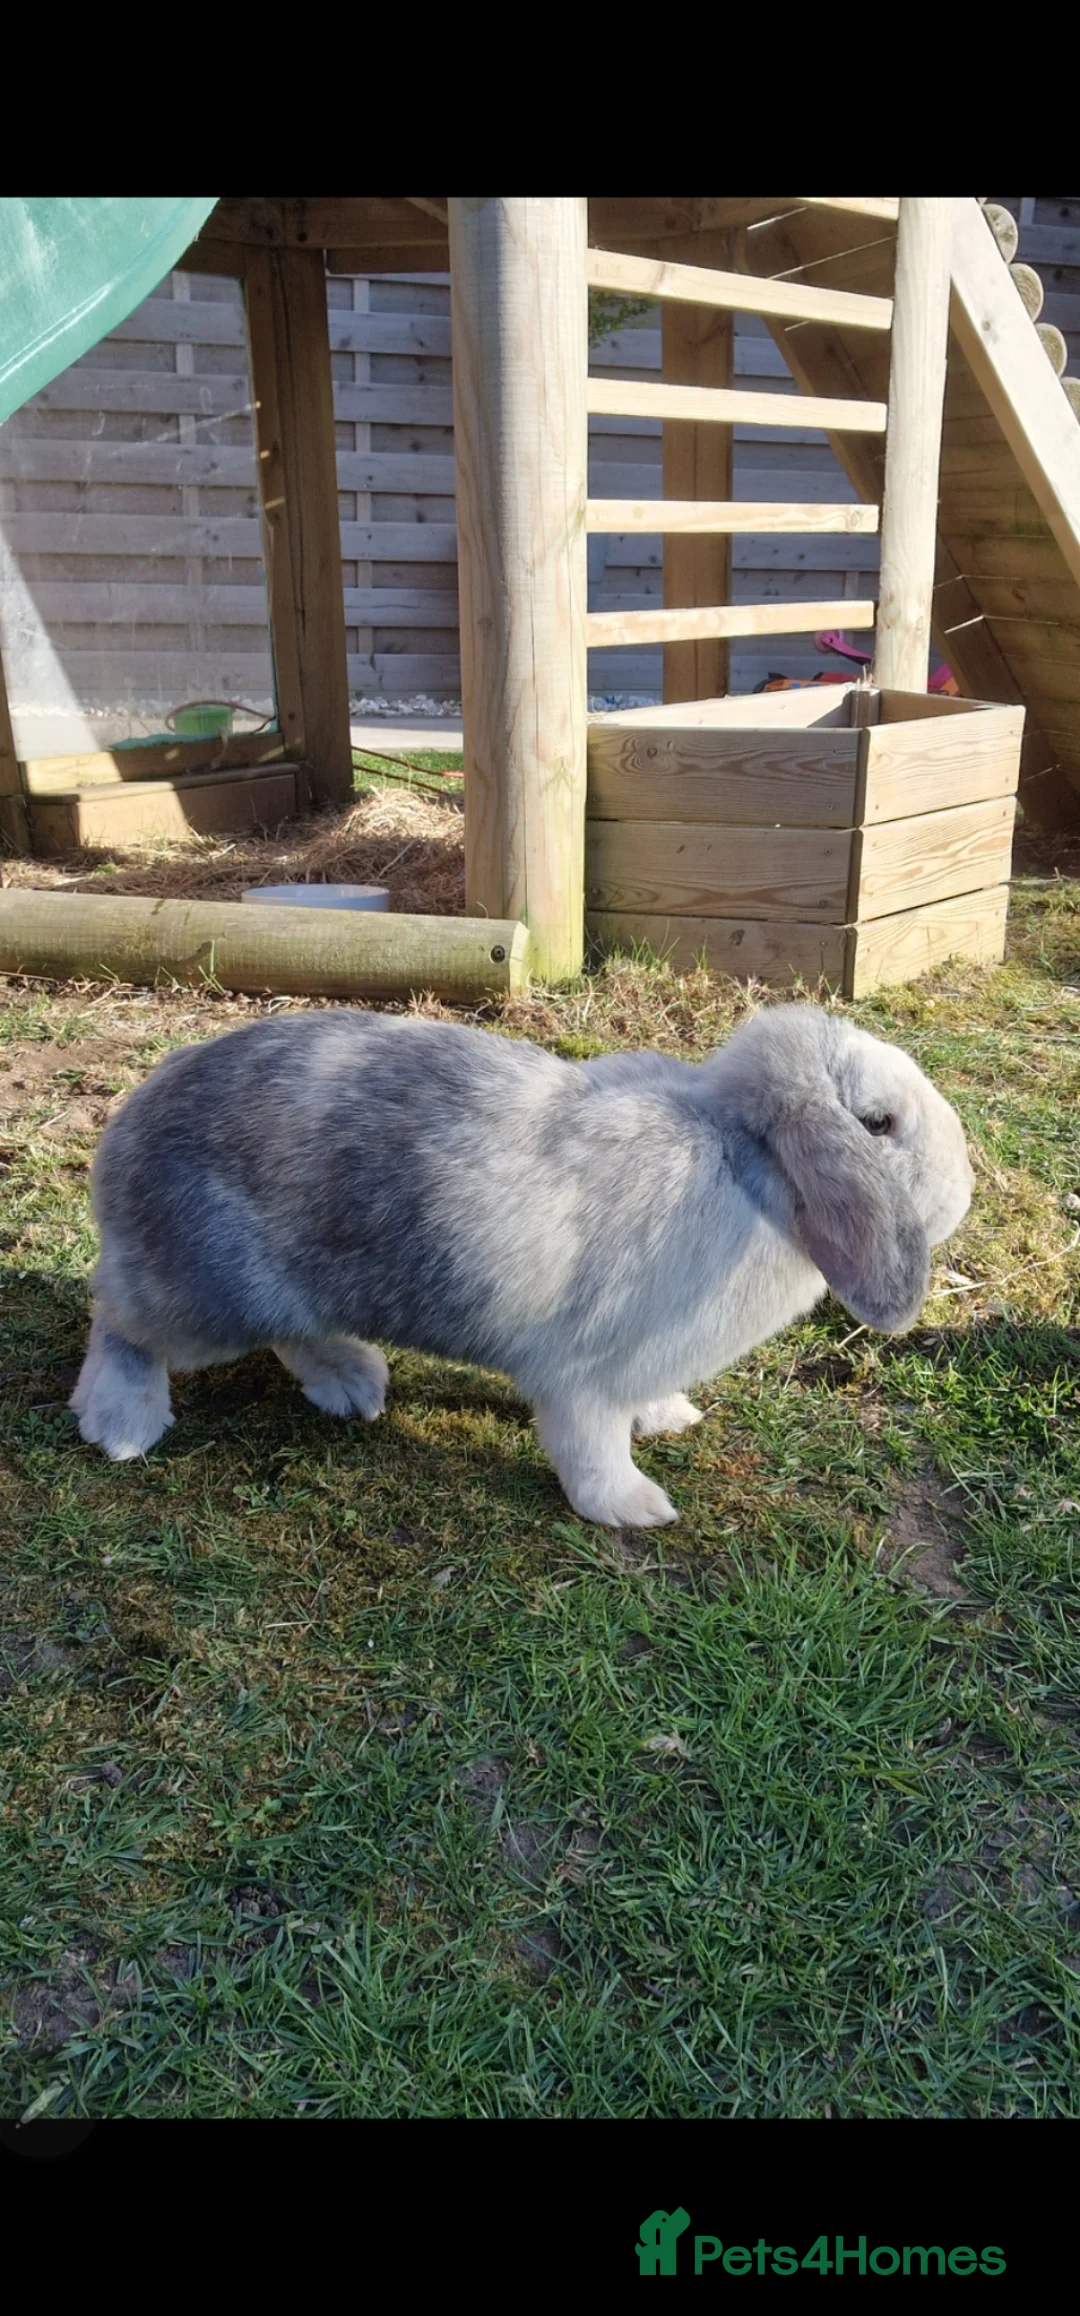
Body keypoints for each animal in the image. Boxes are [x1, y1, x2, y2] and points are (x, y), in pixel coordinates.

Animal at [70, 1002, 974, 1529]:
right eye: (879, 1124)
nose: (964, 1187)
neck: (747, 1160)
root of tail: (127, 1131)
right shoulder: (585, 1381)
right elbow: (593, 1453)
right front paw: (638, 1510)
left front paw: (671, 1418)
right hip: (207, 1294)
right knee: (118, 1322)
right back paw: (123, 1424)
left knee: (293, 1336)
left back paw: (354, 1385)